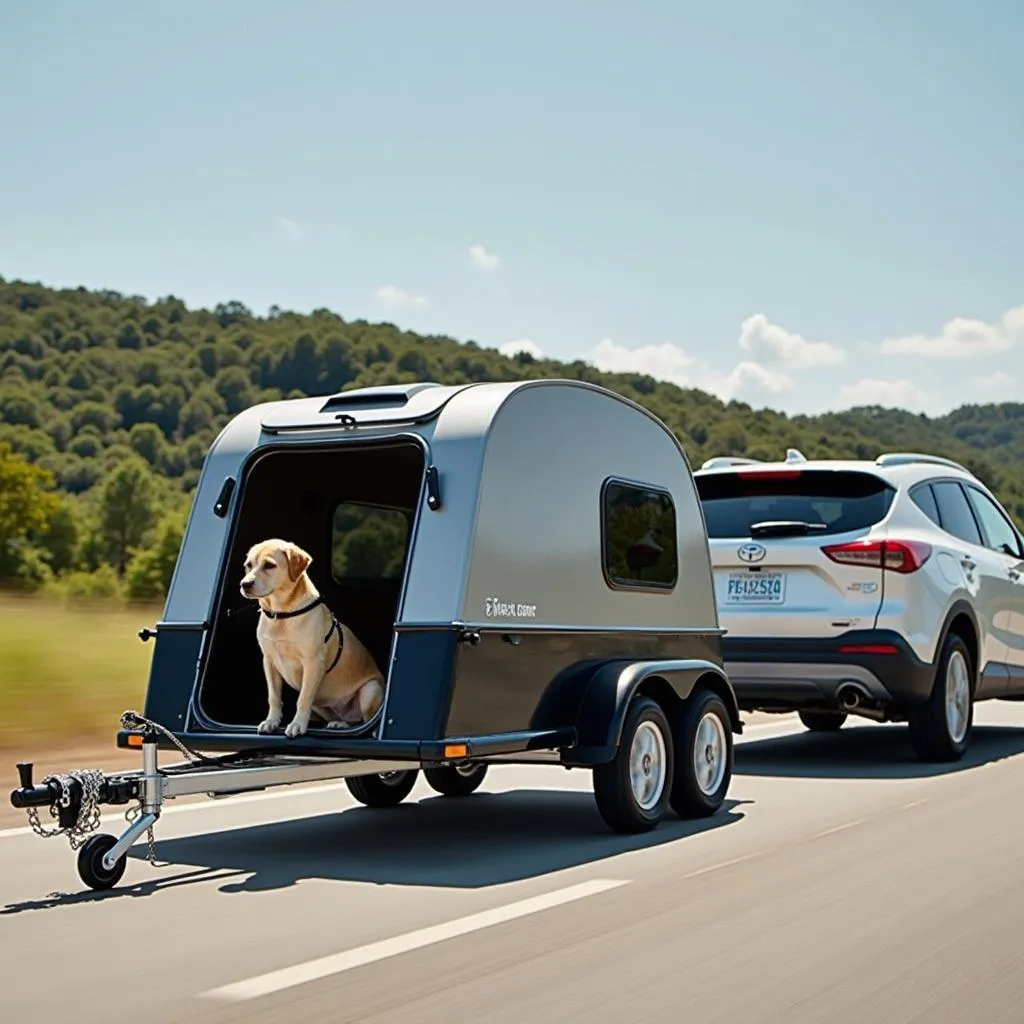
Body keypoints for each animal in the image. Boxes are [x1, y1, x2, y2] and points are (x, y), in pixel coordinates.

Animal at [237, 536, 385, 737]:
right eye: (248, 565)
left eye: (269, 565)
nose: (245, 584)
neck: (281, 614)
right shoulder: (269, 661)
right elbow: (274, 696)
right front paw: (271, 721)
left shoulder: (312, 663)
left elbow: (303, 699)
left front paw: (297, 724)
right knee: (349, 720)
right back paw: (339, 723)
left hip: (370, 690)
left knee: (365, 722)